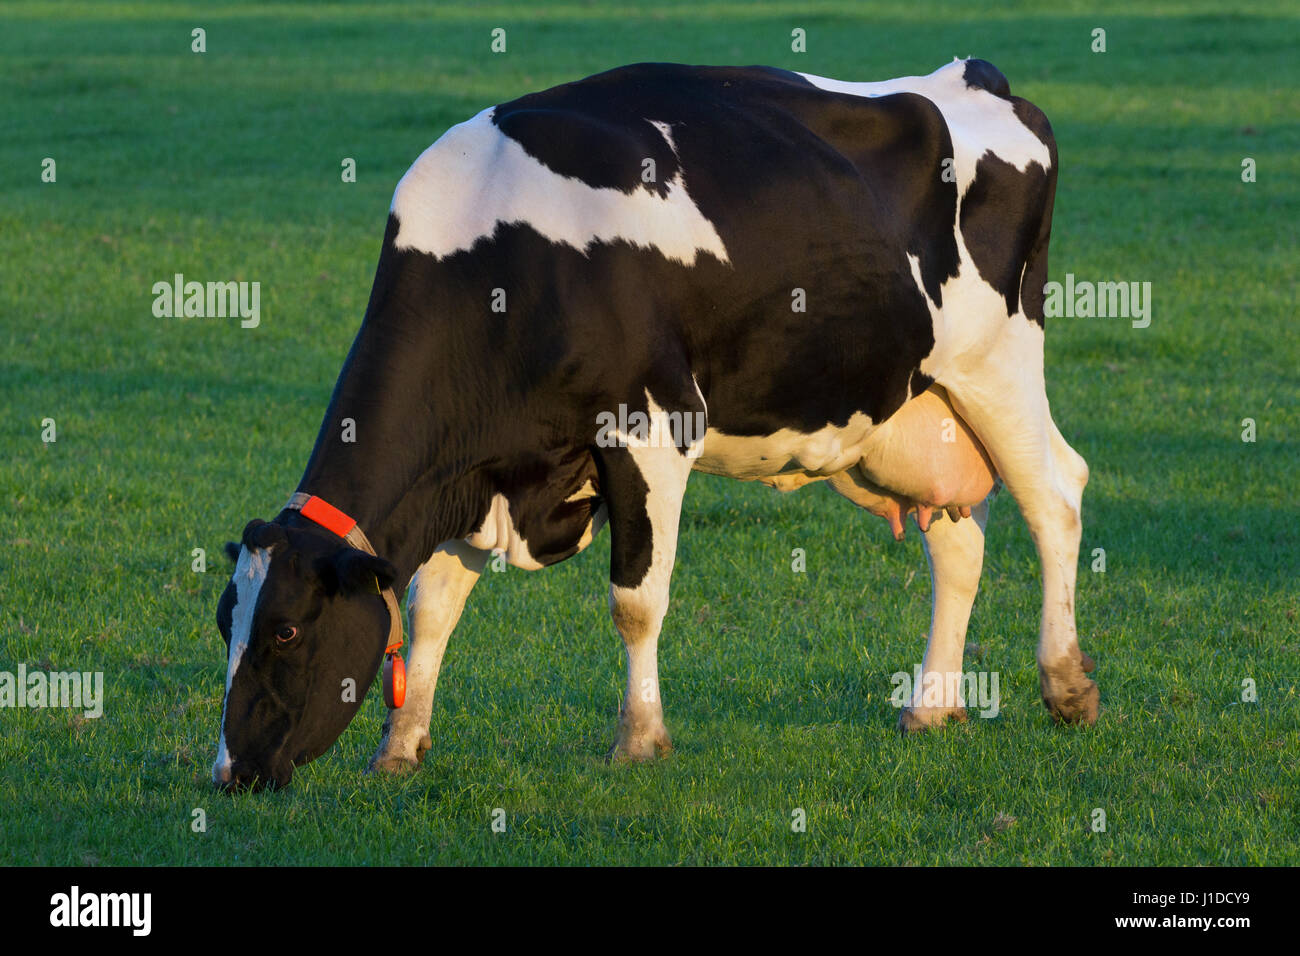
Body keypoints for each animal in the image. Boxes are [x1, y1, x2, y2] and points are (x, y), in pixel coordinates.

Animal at [213, 58, 1097, 791]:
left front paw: (639, 739)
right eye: (225, 621)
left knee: (1056, 497)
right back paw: (931, 704)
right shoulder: (477, 469)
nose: (229, 773)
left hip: (998, 363)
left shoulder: (650, 428)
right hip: (913, 408)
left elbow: (634, 600)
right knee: (959, 542)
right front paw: (400, 746)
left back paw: (1065, 684)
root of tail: (973, 75)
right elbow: (432, 603)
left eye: (286, 632)